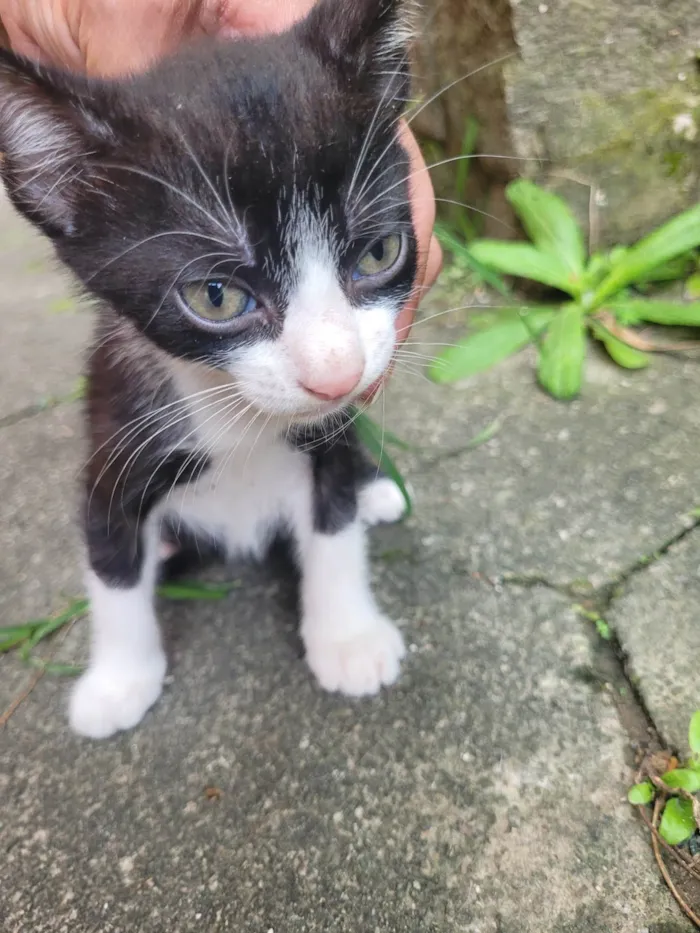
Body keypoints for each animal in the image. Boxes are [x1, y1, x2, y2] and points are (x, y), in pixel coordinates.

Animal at [0, 1, 416, 744]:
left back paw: (374, 489)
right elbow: (111, 567)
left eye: (379, 252)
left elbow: (333, 523)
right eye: (216, 297)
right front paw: (118, 683)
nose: (337, 376)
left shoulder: (325, 438)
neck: (233, 412)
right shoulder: (117, 442)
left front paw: (346, 637)